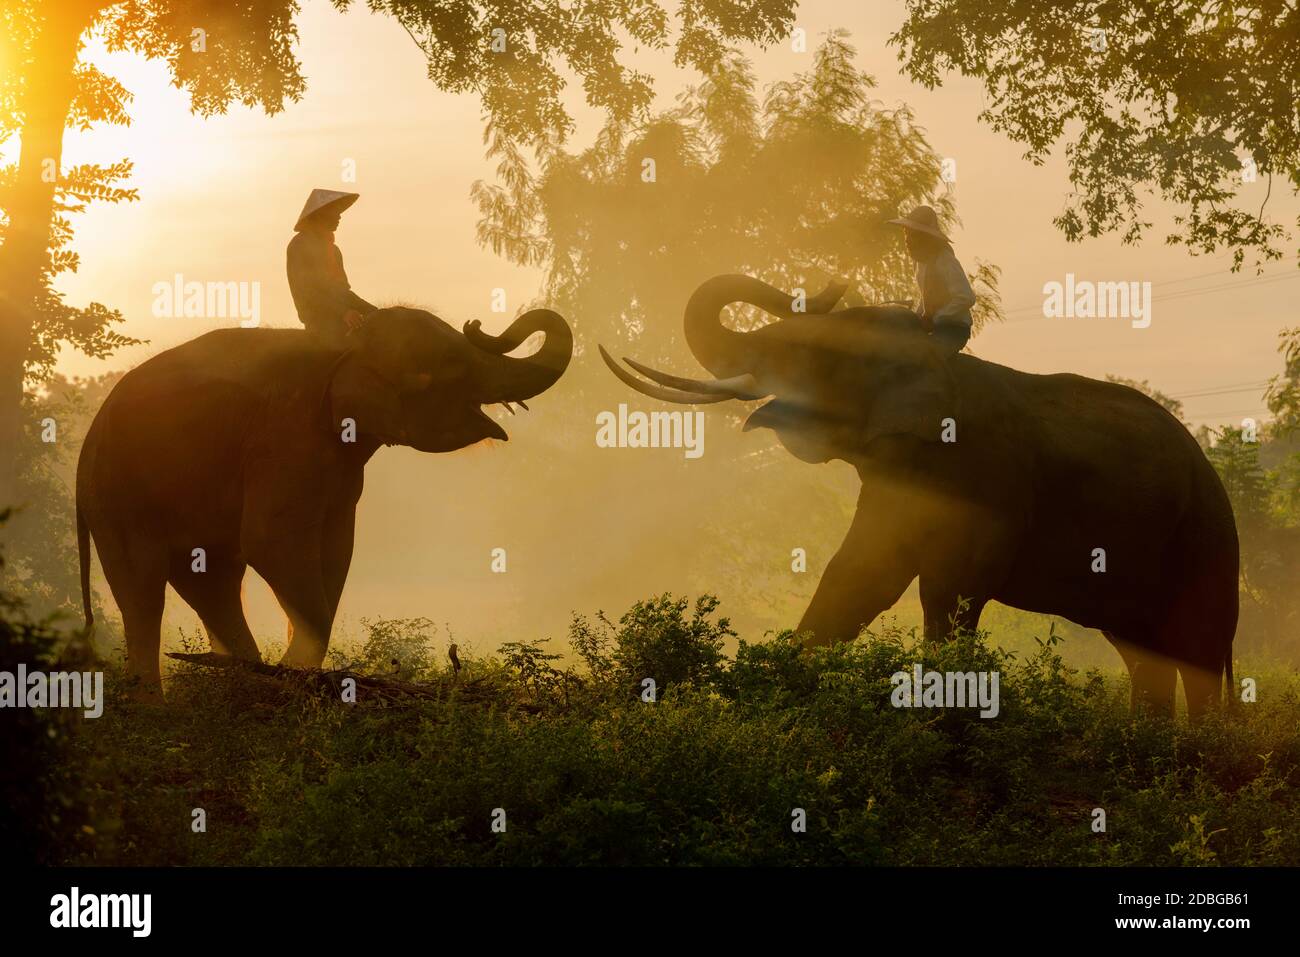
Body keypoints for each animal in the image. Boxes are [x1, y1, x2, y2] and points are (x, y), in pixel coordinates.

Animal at [78, 306, 572, 696]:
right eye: (451, 364)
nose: (478, 324)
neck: (348, 344)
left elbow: (334, 551)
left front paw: (295, 676)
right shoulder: (284, 437)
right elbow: (269, 542)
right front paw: (295, 677)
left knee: (213, 582)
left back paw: (241, 678)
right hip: (118, 500)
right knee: (144, 594)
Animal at [605, 273, 1237, 712]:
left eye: (818, 354)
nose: (830, 283)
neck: (939, 360)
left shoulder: (989, 475)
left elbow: (950, 587)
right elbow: (860, 574)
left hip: (1207, 532)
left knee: (1199, 650)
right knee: (1142, 653)